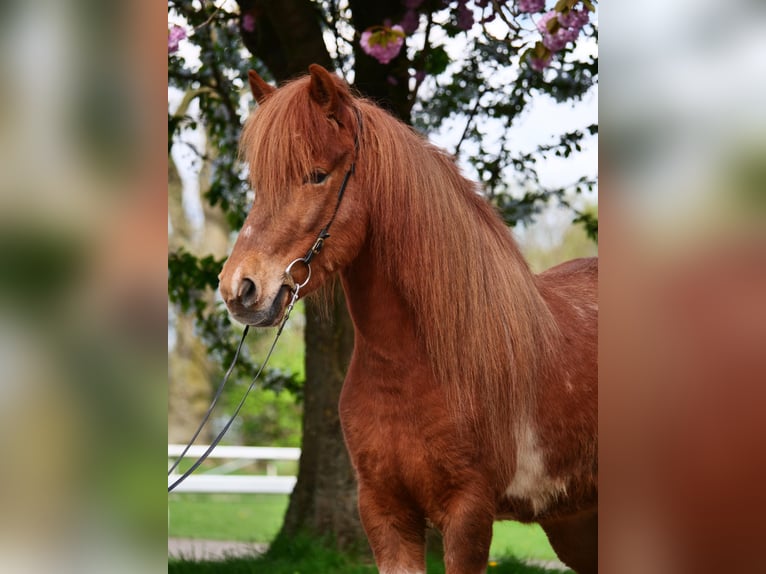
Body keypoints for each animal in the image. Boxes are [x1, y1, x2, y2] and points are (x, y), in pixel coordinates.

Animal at [219, 65, 596, 572]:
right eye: (259, 184)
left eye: (317, 176)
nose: (239, 289)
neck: (415, 366)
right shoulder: (385, 512)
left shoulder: (468, 516)